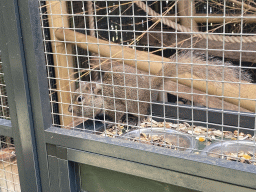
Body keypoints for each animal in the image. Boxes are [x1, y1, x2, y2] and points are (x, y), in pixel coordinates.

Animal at [68, 51, 250, 122]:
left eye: (80, 99)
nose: (69, 110)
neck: (103, 94)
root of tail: (150, 88)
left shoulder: (116, 104)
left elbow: (118, 115)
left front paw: (113, 124)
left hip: (136, 105)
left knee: (142, 115)